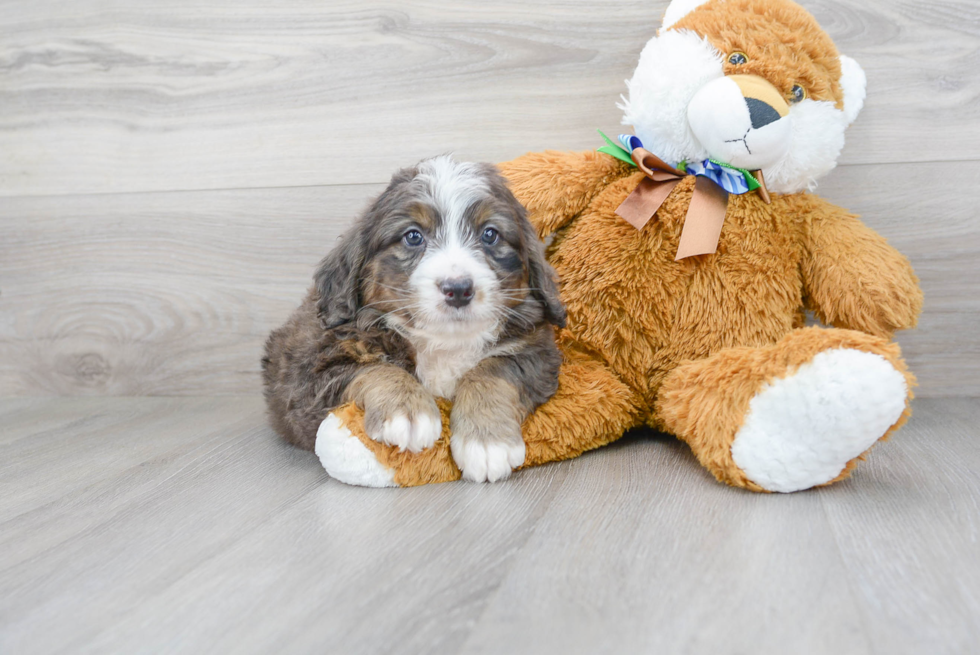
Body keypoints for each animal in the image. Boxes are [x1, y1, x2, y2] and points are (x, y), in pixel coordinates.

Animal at [260, 154, 568, 482]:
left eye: (490, 234)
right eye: (413, 236)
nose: (458, 289)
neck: (443, 341)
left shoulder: (535, 349)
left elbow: (492, 371)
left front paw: (487, 440)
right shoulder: (310, 372)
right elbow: (376, 368)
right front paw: (406, 410)